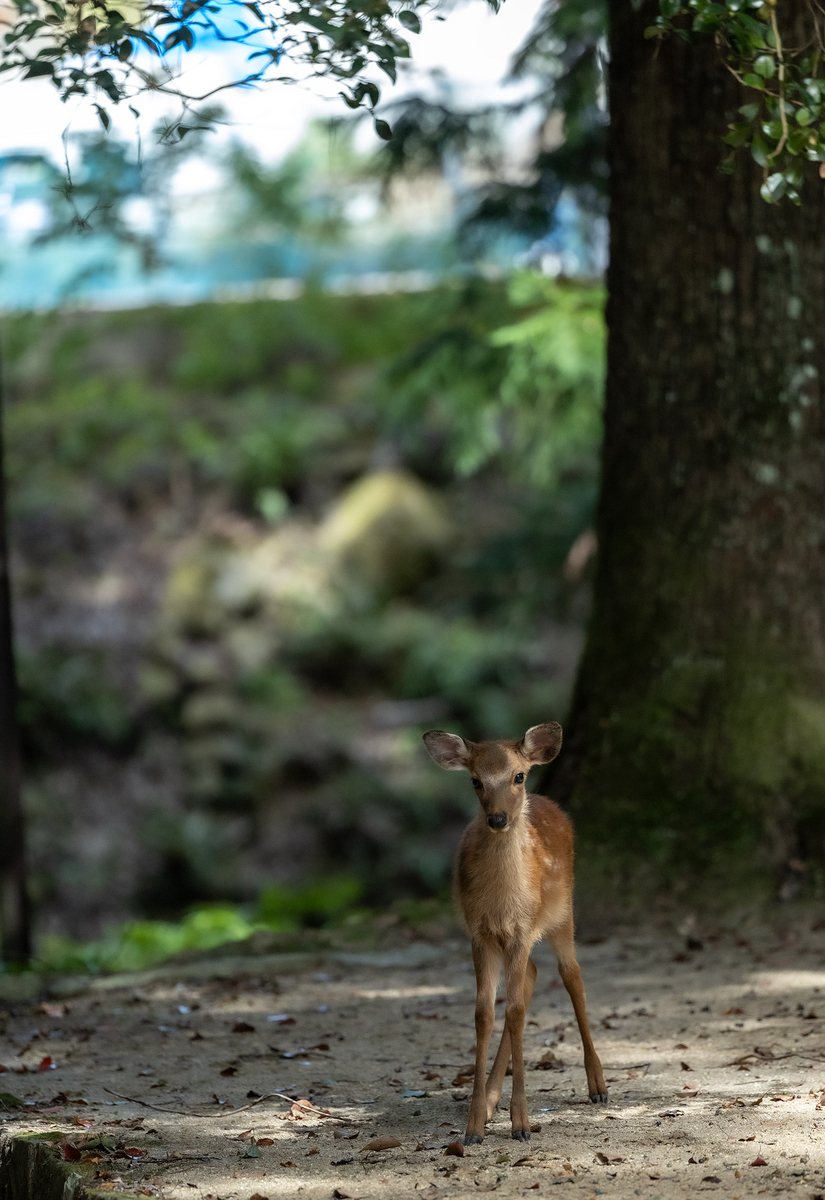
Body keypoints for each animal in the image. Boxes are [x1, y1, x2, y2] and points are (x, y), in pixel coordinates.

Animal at [424, 720, 606, 1142]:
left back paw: (598, 1086)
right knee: (532, 977)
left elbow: (518, 1012)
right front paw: (474, 1124)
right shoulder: (479, 934)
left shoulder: (522, 930)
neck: (503, 901)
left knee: (572, 976)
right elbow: (485, 1013)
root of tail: (550, 803)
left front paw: (521, 1123)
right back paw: (492, 1101)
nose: (497, 819)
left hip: (562, 911)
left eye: (518, 776)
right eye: (475, 780)